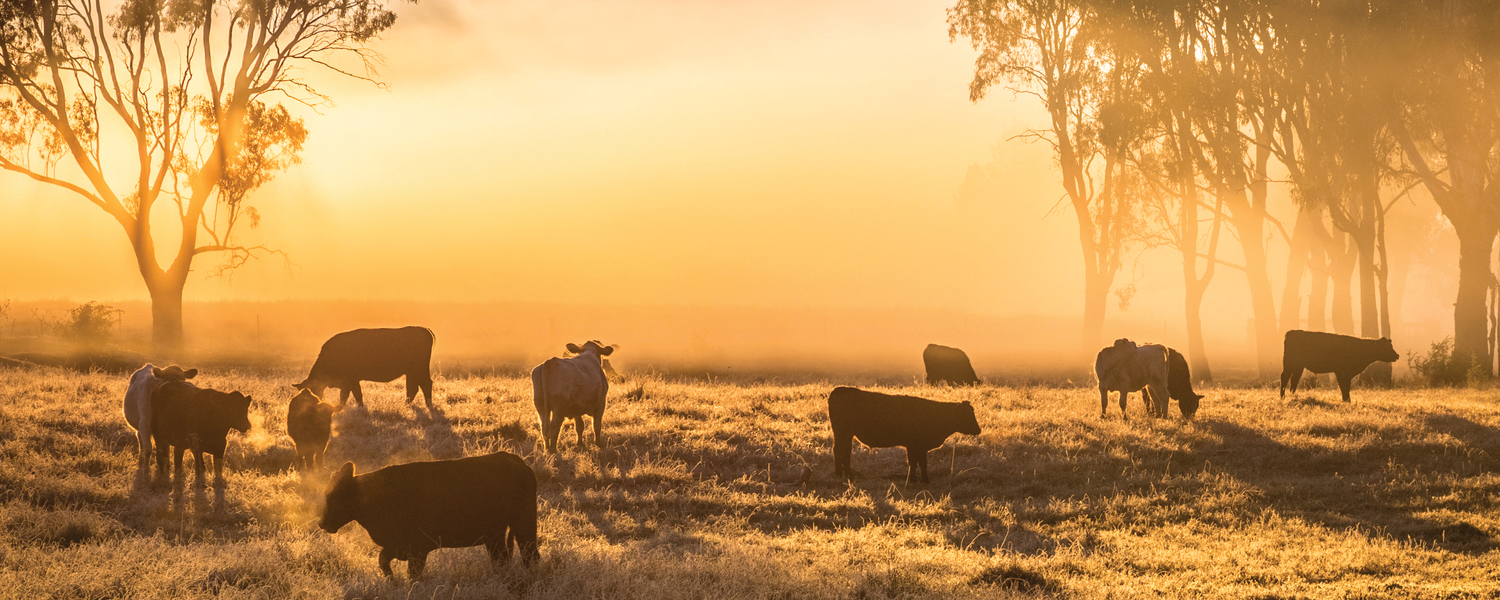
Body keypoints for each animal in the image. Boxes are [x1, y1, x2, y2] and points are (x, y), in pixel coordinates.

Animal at [292, 325, 435, 411]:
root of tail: (423, 329)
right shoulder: (347, 383)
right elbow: (346, 396)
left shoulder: (351, 381)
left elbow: (355, 395)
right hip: (411, 372)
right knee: (413, 388)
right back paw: (407, 405)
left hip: (419, 370)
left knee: (425, 384)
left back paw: (428, 406)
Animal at [319, 456, 543, 576]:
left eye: (333, 496)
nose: (322, 523)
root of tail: (517, 461)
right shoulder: (397, 546)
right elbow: (383, 562)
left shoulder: (418, 550)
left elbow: (412, 574)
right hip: (494, 536)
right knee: (501, 560)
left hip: (524, 525)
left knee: (530, 555)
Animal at [822, 387, 984, 486]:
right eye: (967, 415)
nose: (978, 429)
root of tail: (840, 389)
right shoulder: (915, 445)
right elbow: (917, 463)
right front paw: (919, 480)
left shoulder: (917, 447)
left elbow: (918, 463)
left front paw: (918, 480)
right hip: (843, 432)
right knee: (842, 451)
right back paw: (845, 475)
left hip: (844, 434)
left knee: (841, 451)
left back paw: (842, 474)